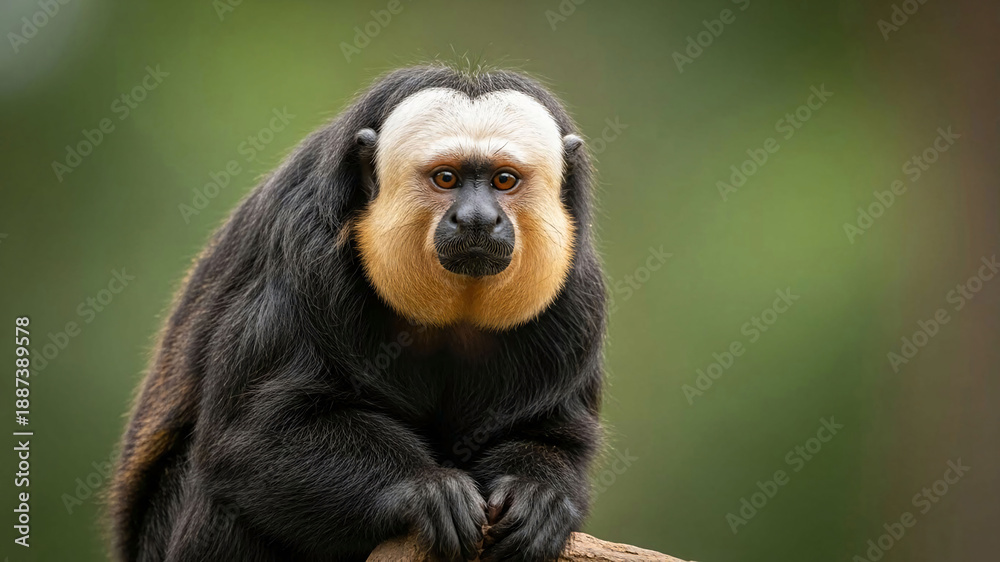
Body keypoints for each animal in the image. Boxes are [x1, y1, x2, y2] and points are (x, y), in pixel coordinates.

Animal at [109, 64, 607, 562]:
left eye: (504, 181)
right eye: (446, 178)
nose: (477, 219)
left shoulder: (578, 304)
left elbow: (552, 434)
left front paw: (538, 497)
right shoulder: (304, 256)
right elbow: (251, 436)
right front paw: (427, 489)